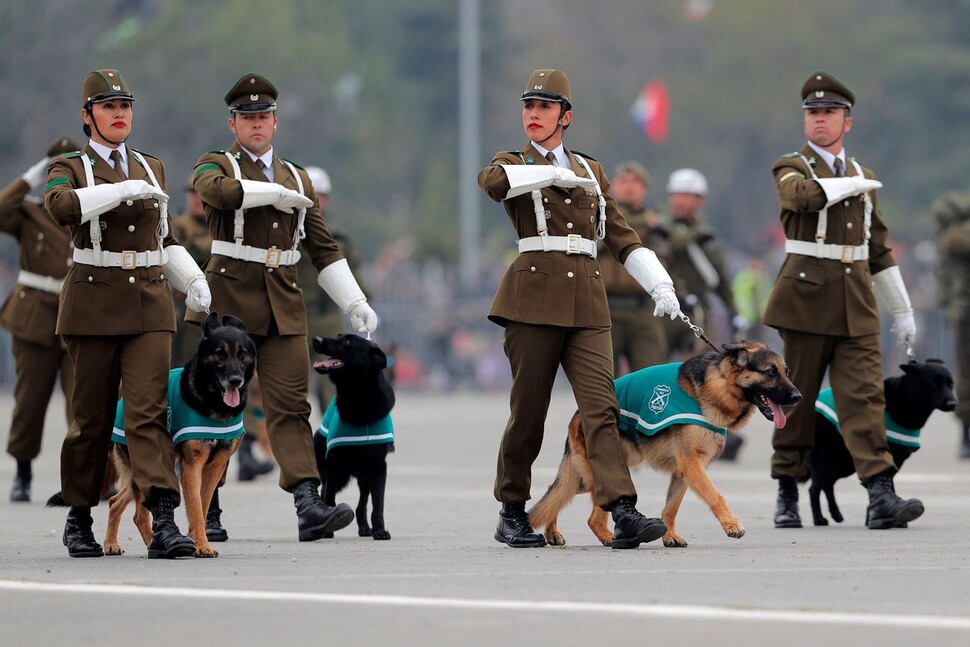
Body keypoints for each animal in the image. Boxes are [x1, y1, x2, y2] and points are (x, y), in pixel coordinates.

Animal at [103, 314, 253, 556]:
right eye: (220, 354)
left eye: (242, 354)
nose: (235, 380)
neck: (214, 403)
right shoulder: (191, 465)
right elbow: (195, 506)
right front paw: (201, 545)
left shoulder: (215, 466)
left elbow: (202, 505)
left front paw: (196, 541)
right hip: (141, 469)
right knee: (127, 507)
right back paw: (116, 543)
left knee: (120, 504)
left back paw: (149, 544)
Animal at [310, 334, 394, 540]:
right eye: (339, 337)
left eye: (348, 342)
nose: (316, 340)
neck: (358, 398)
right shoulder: (333, 464)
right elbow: (329, 498)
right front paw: (328, 527)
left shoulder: (378, 467)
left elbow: (377, 504)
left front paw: (380, 530)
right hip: (334, 471)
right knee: (325, 492)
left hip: (364, 475)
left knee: (361, 504)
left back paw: (364, 528)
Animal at [528, 342, 800, 548]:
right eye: (770, 372)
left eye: (786, 371)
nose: (798, 397)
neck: (717, 385)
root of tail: (577, 414)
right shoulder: (691, 465)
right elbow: (716, 496)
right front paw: (731, 524)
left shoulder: (685, 470)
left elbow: (671, 507)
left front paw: (669, 536)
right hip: (603, 472)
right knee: (591, 516)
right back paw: (609, 537)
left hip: (596, 473)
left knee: (557, 491)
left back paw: (553, 532)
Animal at [804, 360, 956, 528]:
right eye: (933, 384)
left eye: (951, 384)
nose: (953, 404)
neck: (904, 401)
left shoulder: (895, 460)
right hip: (828, 459)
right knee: (814, 488)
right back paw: (819, 519)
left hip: (843, 463)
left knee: (828, 484)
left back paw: (836, 514)